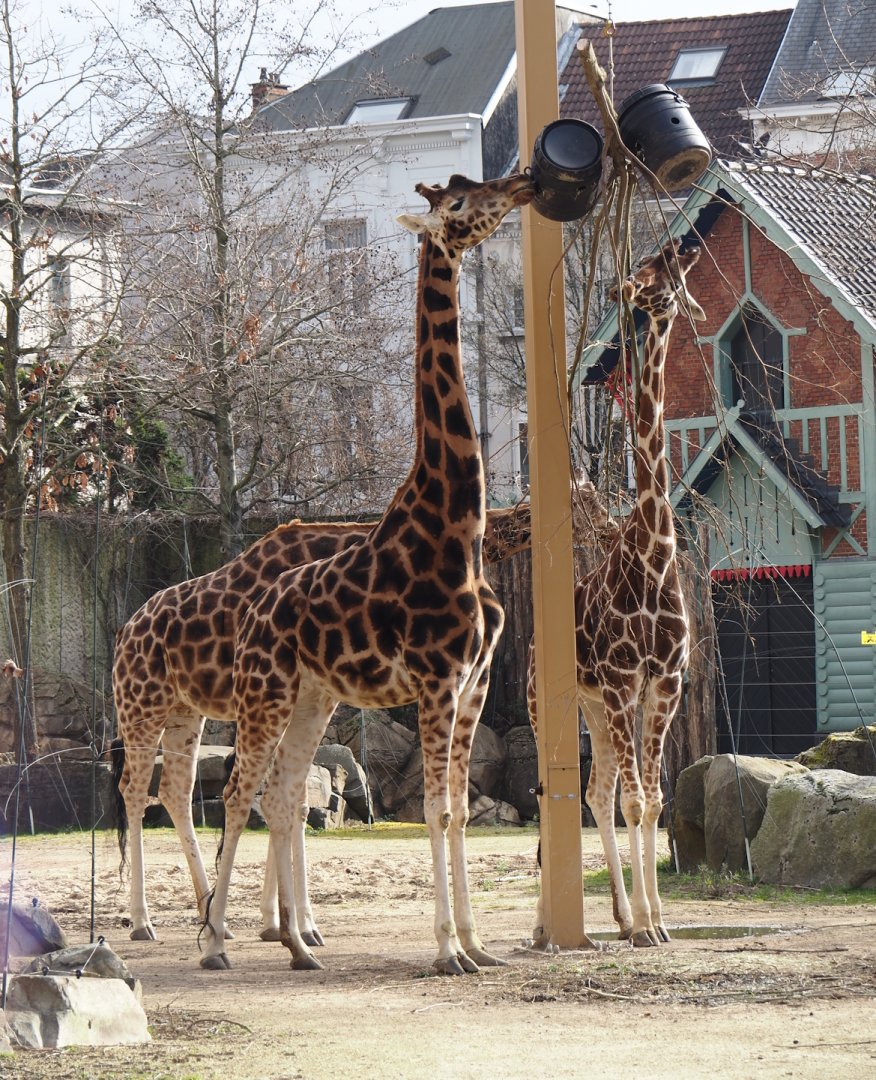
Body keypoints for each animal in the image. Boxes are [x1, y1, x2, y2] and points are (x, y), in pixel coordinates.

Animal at [112, 503, 534, 946]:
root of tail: (123, 633)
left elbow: (294, 800)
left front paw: (283, 921)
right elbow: (291, 800)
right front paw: (294, 922)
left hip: (185, 711)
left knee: (174, 791)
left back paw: (211, 917)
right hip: (143, 705)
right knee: (135, 791)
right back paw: (143, 922)